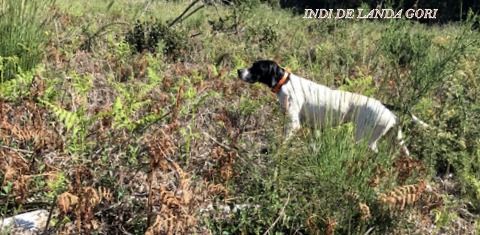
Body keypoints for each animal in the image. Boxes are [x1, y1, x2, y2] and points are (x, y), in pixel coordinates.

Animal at [238, 60, 418, 155]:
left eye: (256, 67)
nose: (239, 70)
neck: (285, 83)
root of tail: (385, 107)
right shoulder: (314, 129)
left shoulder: (293, 124)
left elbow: (283, 142)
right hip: (393, 138)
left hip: (365, 139)